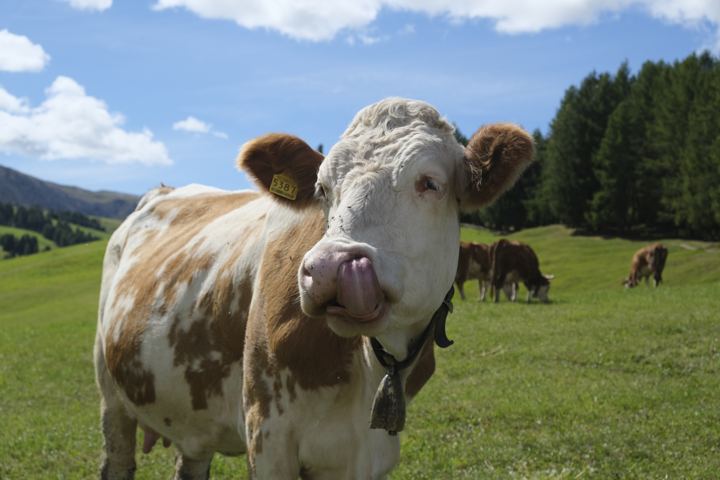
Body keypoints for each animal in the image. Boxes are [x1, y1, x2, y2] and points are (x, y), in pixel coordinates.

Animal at [94, 98, 533, 479]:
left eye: (429, 183)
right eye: (323, 189)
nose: (329, 268)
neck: (371, 363)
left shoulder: (369, 455)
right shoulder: (267, 437)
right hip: (110, 392)